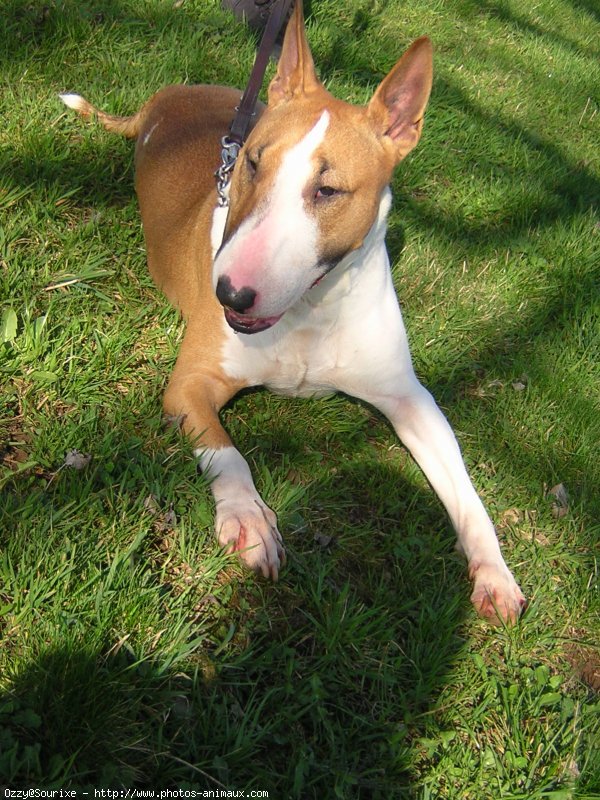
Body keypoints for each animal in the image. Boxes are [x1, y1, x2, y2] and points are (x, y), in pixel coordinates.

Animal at [58, 1, 524, 624]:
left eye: (327, 191)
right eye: (253, 164)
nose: (229, 293)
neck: (310, 310)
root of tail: (168, 96)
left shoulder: (409, 398)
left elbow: (464, 486)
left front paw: (494, 572)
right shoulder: (189, 385)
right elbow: (227, 453)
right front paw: (249, 522)